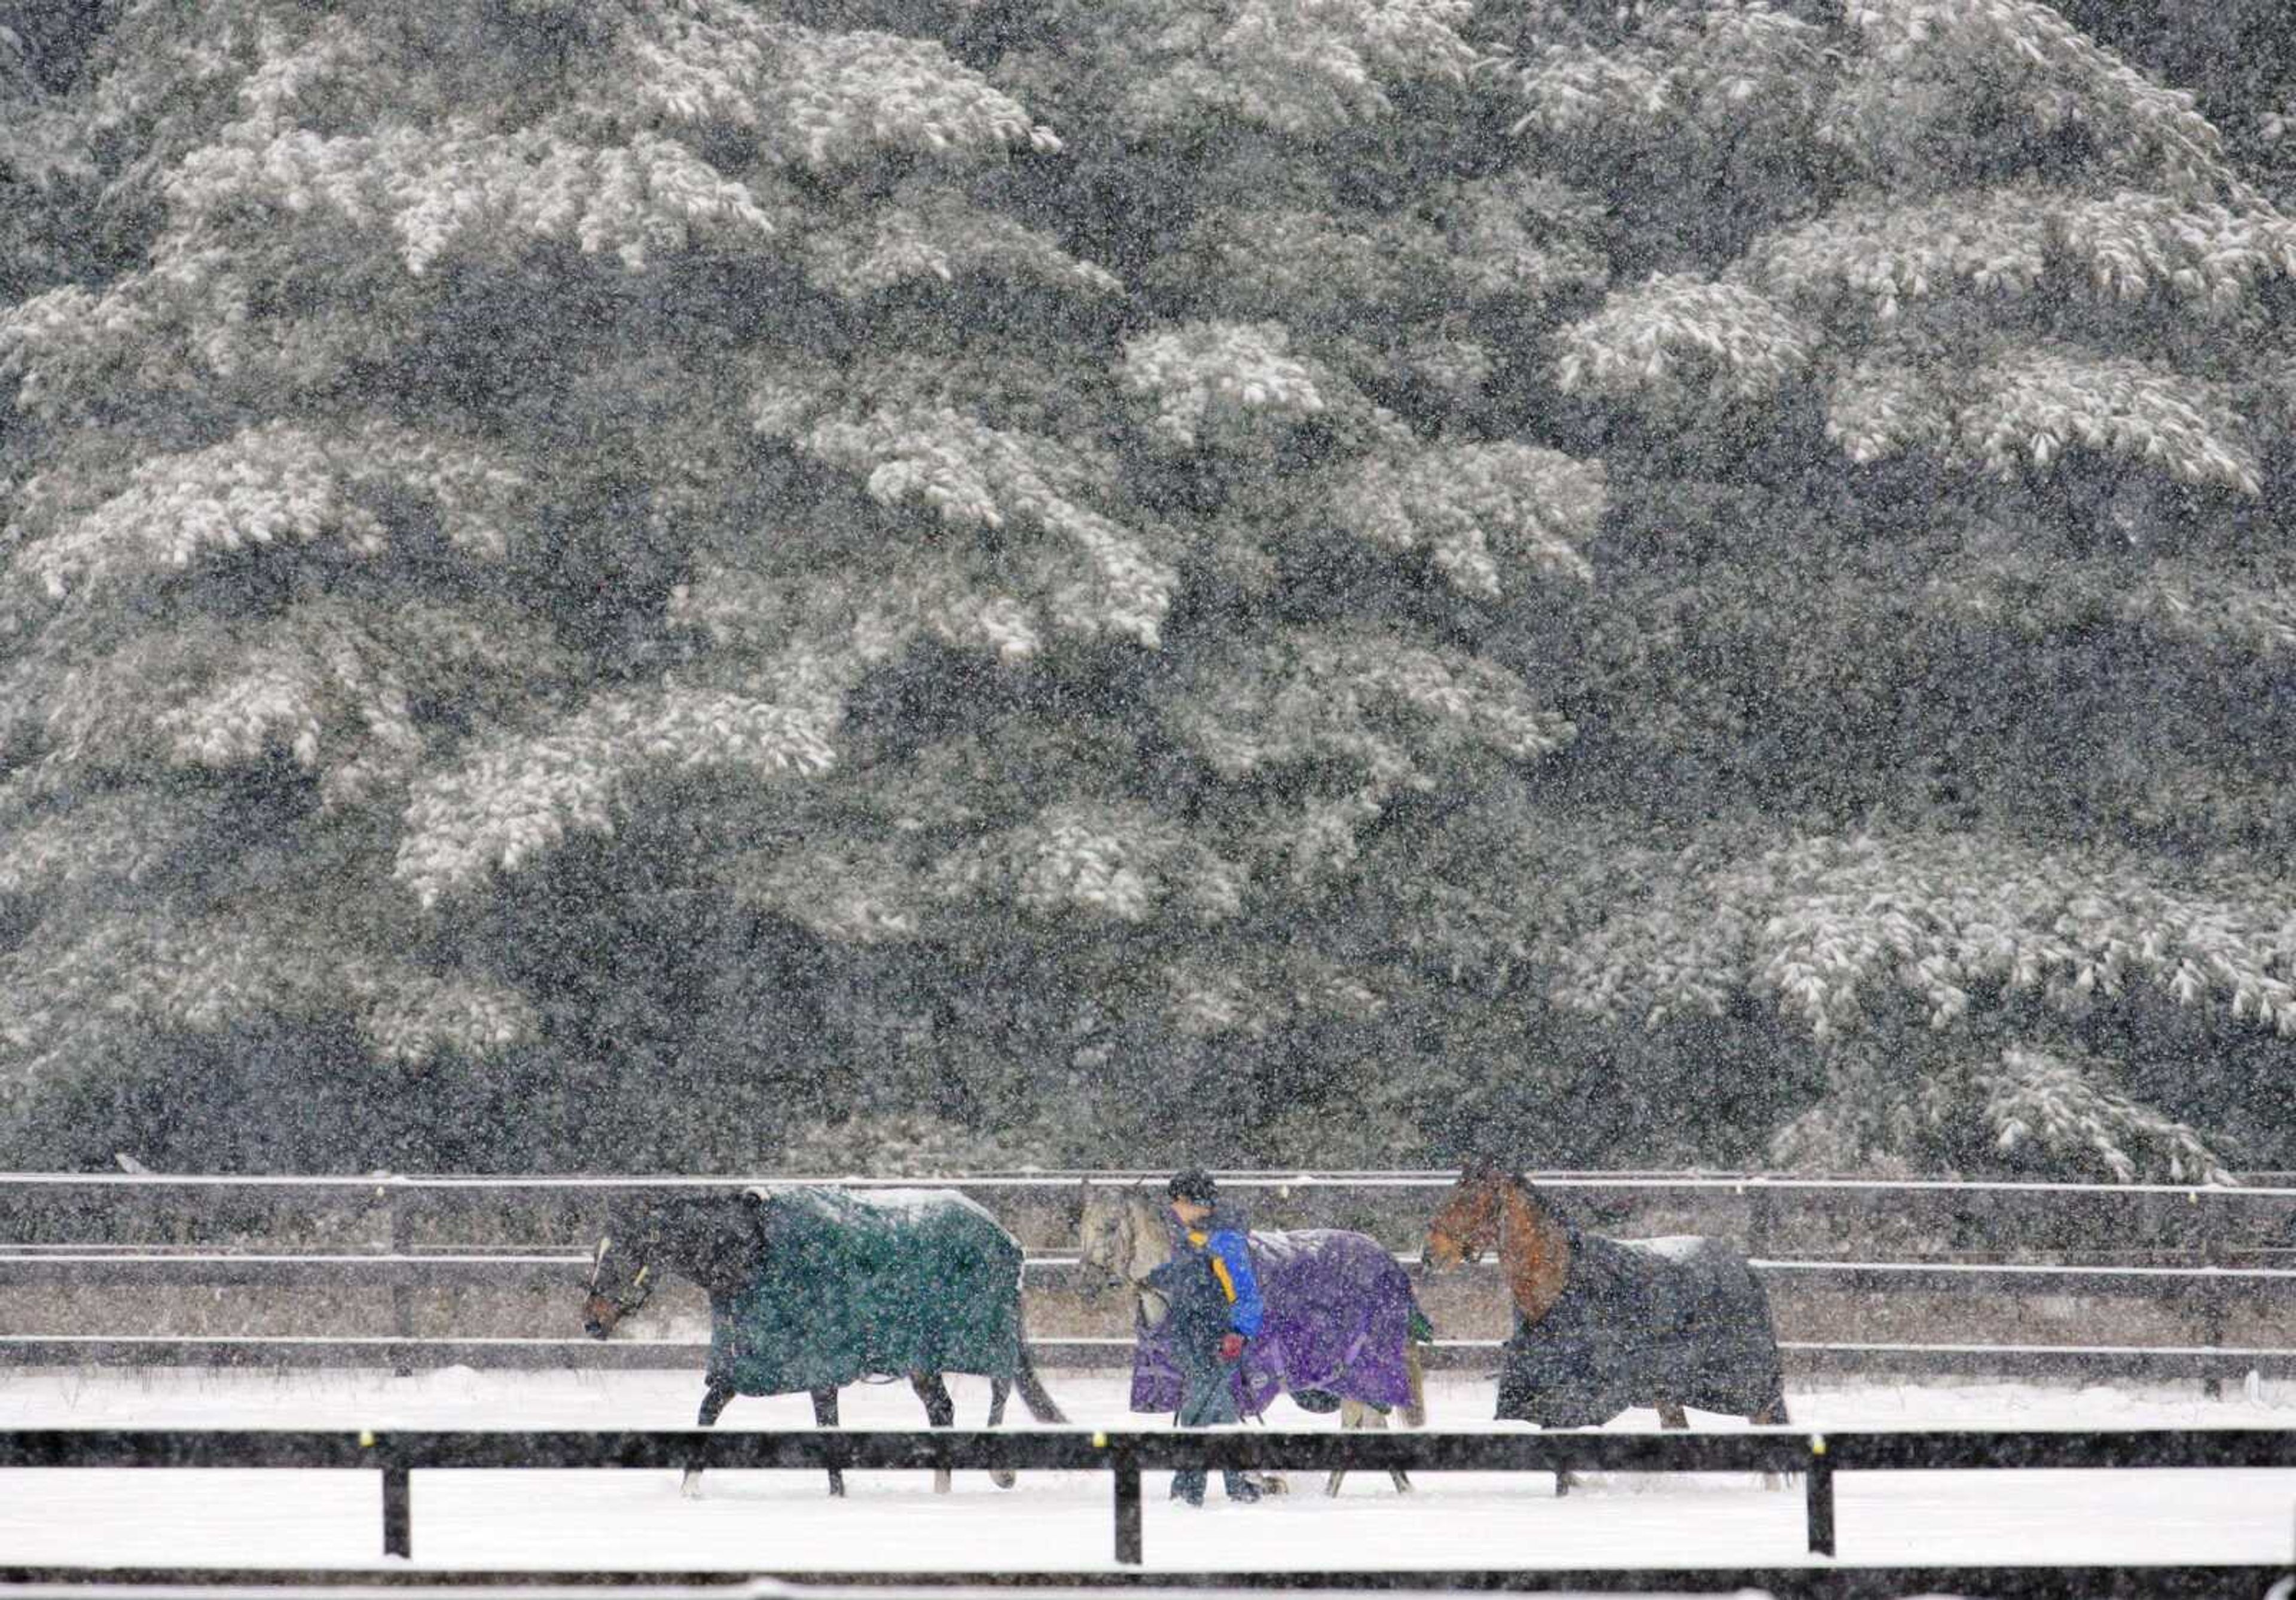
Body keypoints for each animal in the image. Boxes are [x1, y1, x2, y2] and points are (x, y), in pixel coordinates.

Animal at [583, 1175, 1065, 1487]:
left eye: (623, 1257)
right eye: (595, 1254)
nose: (591, 1322)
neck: (753, 1258)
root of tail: (1008, 1239)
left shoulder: (820, 1371)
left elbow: (829, 1436)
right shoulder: (741, 1366)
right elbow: (707, 1415)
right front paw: (689, 1493)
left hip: (985, 1336)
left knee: (1001, 1385)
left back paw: (1001, 1472)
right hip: (924, 1361)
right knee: (943, 1410)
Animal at [1079, 1175, 1433, 1497]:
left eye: (1111, 1226)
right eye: (1083, 1227)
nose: (1086, 1284)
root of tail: (1390, 1263)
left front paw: (1255, 1484)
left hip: (1360, 1369)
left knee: (1356, 1421)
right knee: (1370, 1421)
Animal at [1414, 1152, 1791, 1487]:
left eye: (1470, 1200)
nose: (1431, 1255)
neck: (1559, 1288)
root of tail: (1744, 1268)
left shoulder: (1572, 1398)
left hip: (1746, 1386)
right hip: (1669, 1392)